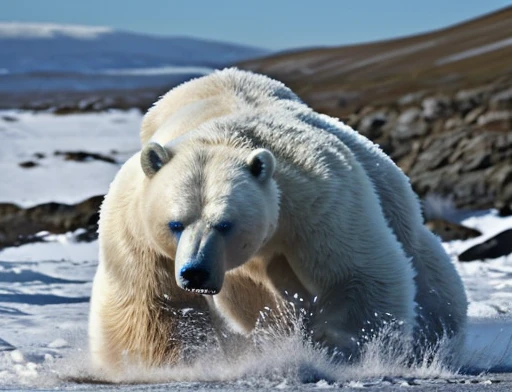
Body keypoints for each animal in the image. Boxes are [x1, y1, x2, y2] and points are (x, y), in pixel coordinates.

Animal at [89, 68, 468, 374]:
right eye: (175, 224)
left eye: (225, 224)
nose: (195, 272)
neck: (222, 135)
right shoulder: (136, 224)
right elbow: (155, 303)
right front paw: (165, 363)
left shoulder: (318, 202)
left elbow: (356, 271)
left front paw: (336, 350)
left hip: (388, 193)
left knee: (430, 279)